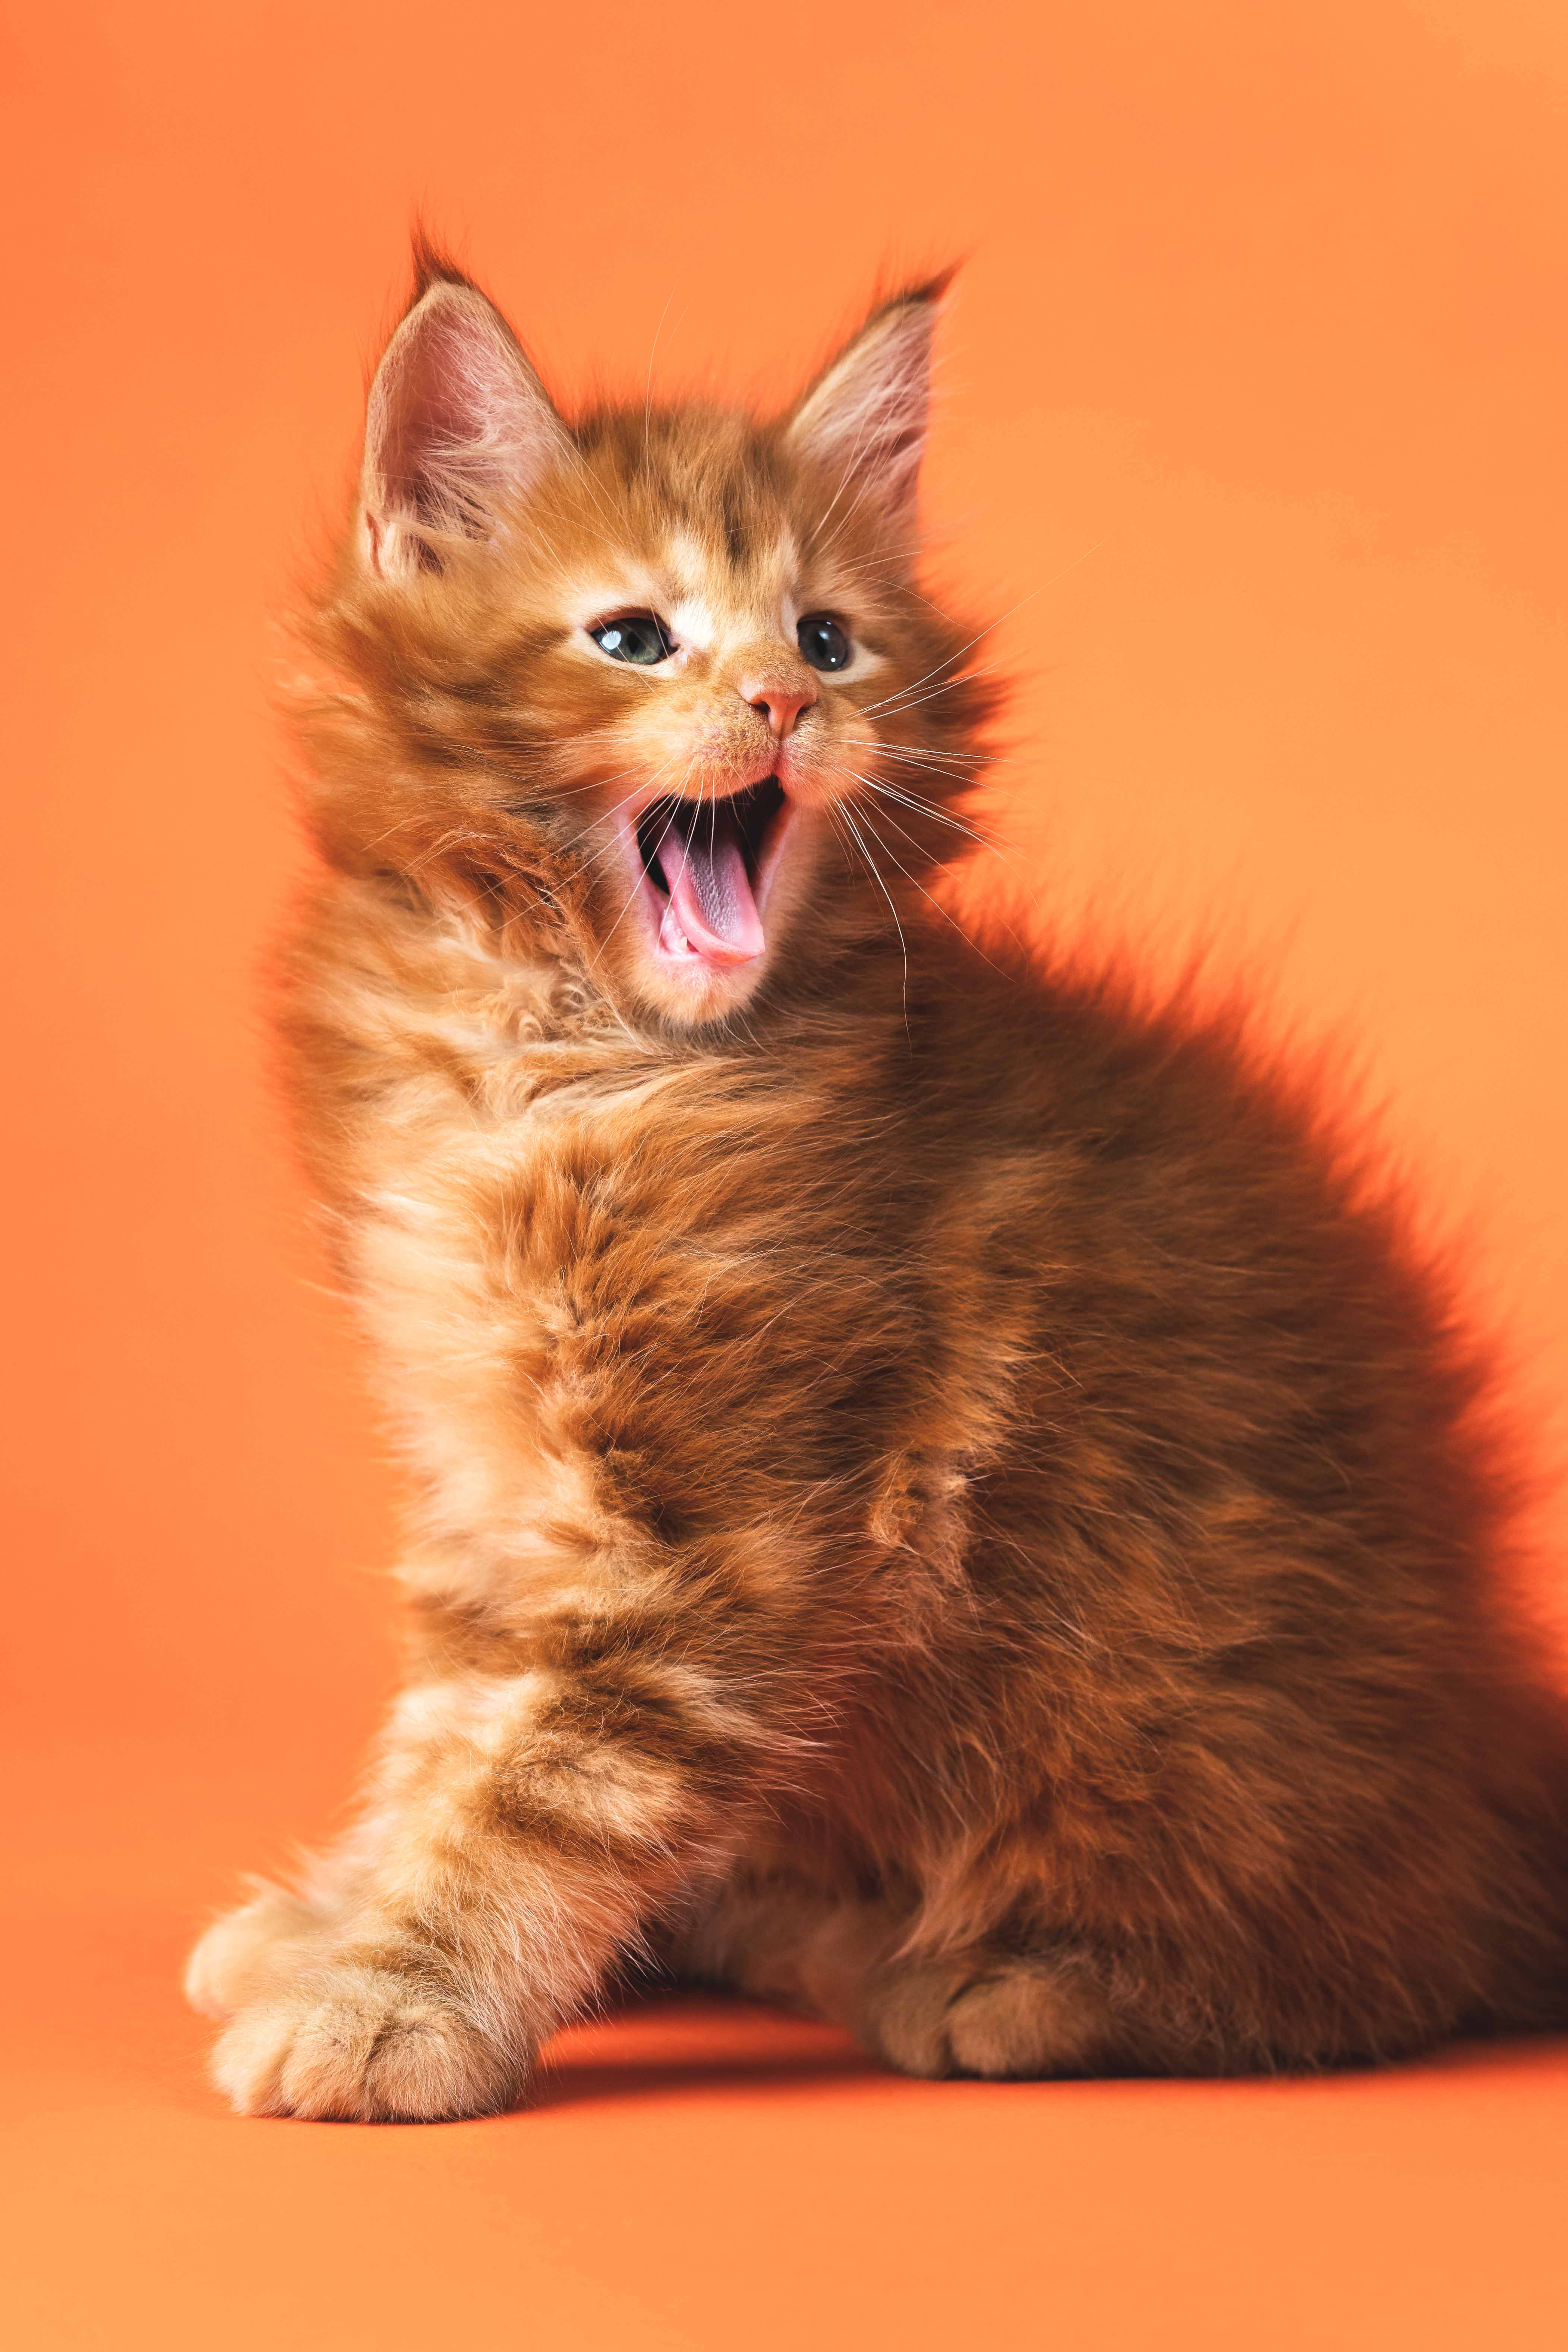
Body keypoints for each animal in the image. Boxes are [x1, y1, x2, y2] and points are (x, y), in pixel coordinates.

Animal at [187, 248, 1568, 2126]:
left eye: (828, 638)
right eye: (634, 635)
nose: (786, 704)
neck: (557, 1048)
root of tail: (1490, 1774)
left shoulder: (727, 1524)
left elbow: (547, 1786)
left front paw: (394, 1994)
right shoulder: (491, 1487)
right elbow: (454, 1732)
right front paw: (346, 1911)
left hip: (1156, 1707)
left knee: (1367, 1967)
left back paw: (987, 1976)